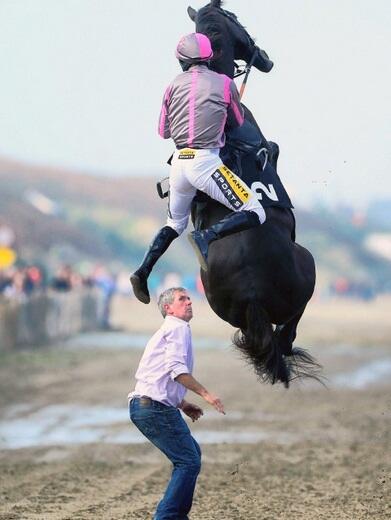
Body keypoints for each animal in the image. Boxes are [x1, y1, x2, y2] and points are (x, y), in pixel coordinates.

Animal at [188, 1, 322, 386]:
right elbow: (273, 147)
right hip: (307, 270)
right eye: (239, 21)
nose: (265, 59)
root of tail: (251, 292)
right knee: (288, 329)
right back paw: (286, 344)